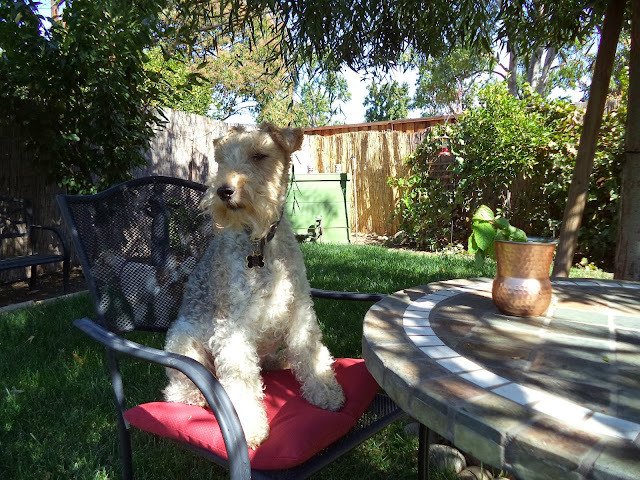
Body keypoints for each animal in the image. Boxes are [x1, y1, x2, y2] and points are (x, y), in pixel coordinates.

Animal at [165, 122, 344, 448]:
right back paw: (197, 395)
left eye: (259, 155)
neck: (260, 241)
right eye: (222, 159)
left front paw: (326, 392)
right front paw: (249, 427)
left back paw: (283, 360)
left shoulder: (299, 309)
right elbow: (241, 382)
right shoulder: (232, 328)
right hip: (182, 340)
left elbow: (311, 354)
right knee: (177, 389)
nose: (224, 191)